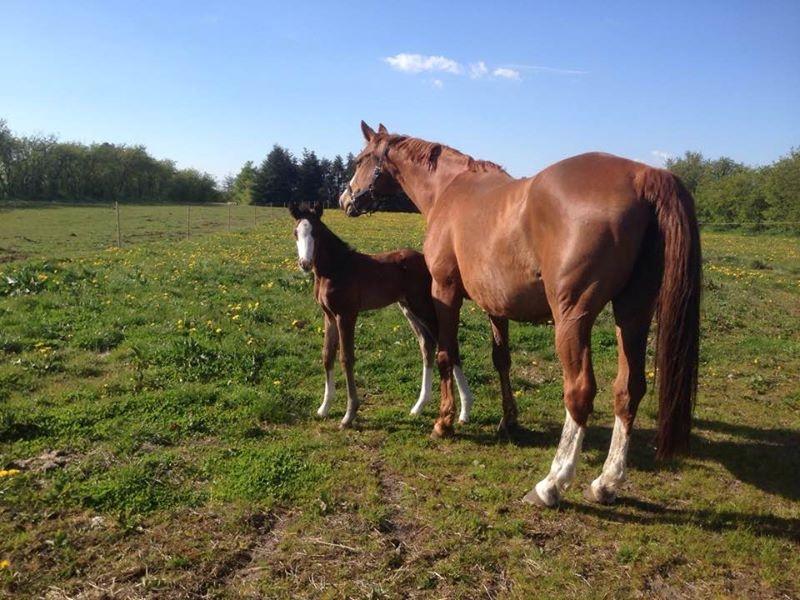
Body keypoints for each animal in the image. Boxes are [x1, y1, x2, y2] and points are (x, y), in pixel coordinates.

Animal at [288, 204, 476, 428]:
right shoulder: (329, 316)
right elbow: (327, 356)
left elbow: (346, 358)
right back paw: (419, 406)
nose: (305, 264)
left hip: (423, 307)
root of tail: (428, 262)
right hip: (408, 308)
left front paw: (349, 415)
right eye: (295, 233)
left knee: (449, 346)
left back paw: (465, 410)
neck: (336, 269)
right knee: (427, 345)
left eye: (316, 232)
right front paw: (324, 408)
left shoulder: (346, 315)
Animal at [340, 122, 700, 506]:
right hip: (633, 314)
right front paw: (508, 420)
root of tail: (642, 174)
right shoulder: (495, 304)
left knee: (579, 393)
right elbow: (502, 360)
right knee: (628, 390)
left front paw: (444, 421)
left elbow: (445, 354)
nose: (345, 199)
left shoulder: (445, 292)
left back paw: (552, 483)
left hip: (573, 318)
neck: (449, 189)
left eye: (360, 160)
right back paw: (606, 482)